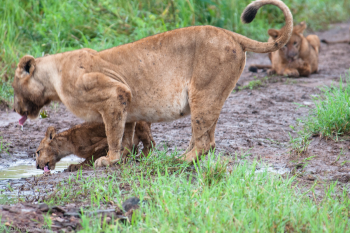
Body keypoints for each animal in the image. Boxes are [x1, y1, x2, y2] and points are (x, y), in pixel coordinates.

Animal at [12, 0, 294, 167]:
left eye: (13, 88)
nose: (14, 109)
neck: (53, 78)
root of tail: (232, 34)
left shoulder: (114, 94)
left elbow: (112, 134)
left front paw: (108, 160)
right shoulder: (124, 102)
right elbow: (125, 134)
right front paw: (123, 159)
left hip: (203, 92)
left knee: (204, 141)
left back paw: (182, 161)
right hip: (210, 96)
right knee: (207, 138)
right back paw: (183, 156)